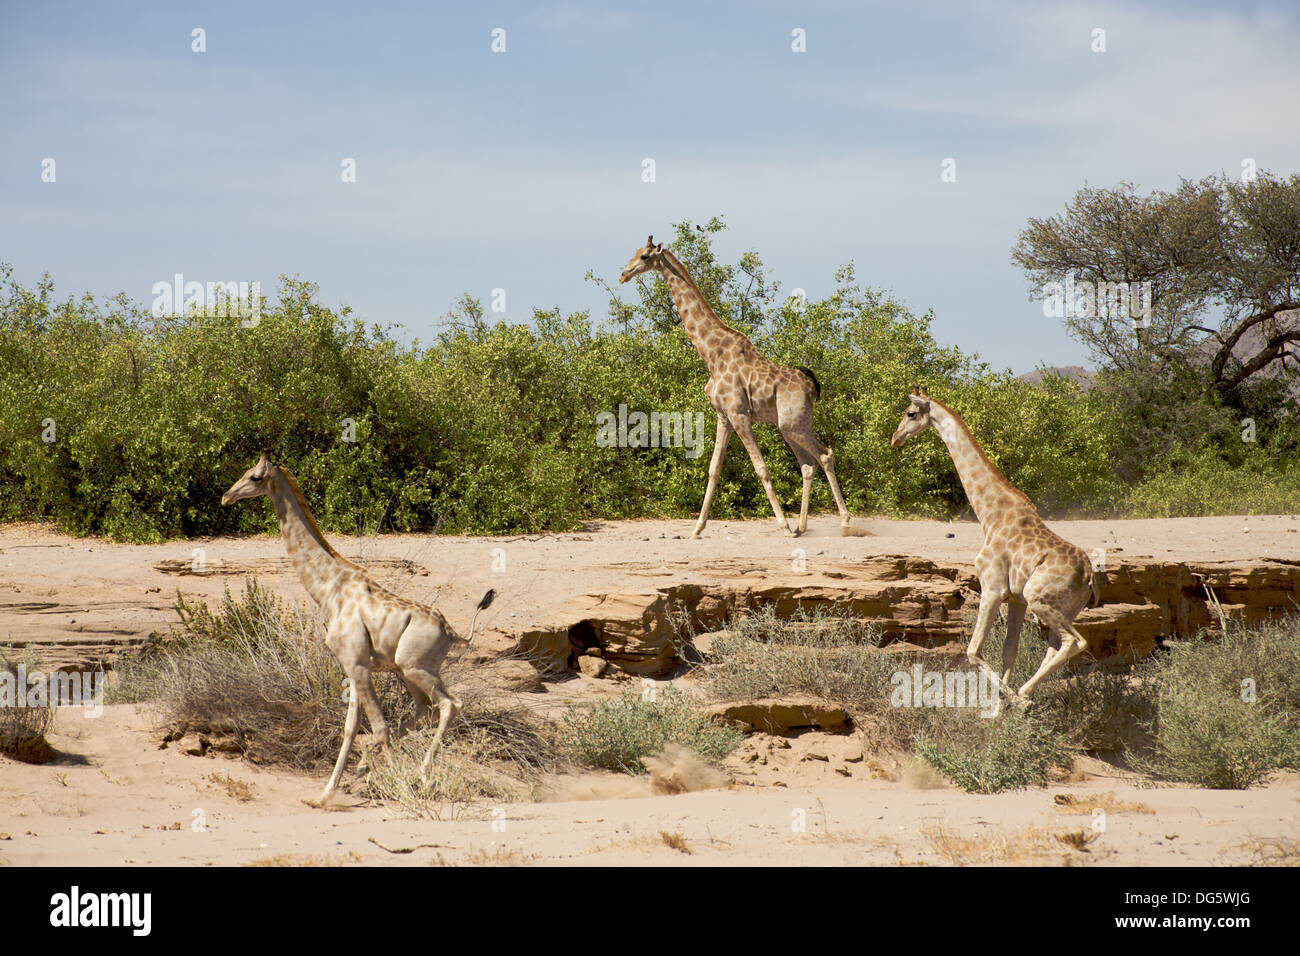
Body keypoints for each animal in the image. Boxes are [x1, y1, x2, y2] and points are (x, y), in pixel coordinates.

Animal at [221, 452, 495, 805]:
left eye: (255, 477)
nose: (227, 496)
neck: (328, 589)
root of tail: (451, 632)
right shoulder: (351, 665)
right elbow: (352, 727)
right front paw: (324, 795)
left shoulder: (358, 664)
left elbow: (378, 726)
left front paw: (399, 787)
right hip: (409, 671)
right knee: (424, 709)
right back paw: (379, 769)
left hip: (414, 667)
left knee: (450, 705)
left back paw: (420, 775)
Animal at [620, 235, 857, 538]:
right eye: (636, 252)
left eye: (645, 257)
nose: (624, 274)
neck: (711, 355)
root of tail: (812, 387)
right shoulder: (724, 415)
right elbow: (713, 469)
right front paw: (696, 529)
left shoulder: (739, 413)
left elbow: (761, 468)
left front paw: (782, 525)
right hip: (789, 425)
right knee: (808, 463)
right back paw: (802, 527)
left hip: (793, 423)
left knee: (825, 455)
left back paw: (845, 522)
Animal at [890, 388, 1099, 699]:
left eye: (910, 413)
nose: (895, 438)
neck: (989, 515)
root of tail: (1088, 577)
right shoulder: (1015, 599)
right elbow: (1008, 653)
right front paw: (1005, 704)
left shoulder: (992, 587)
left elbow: (973, 651)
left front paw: (1011, 698)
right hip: (1063, 608)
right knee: (1056, 647)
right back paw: (1024, 695)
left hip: (1040, 599)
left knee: (1076, 642)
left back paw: (1023, 696)